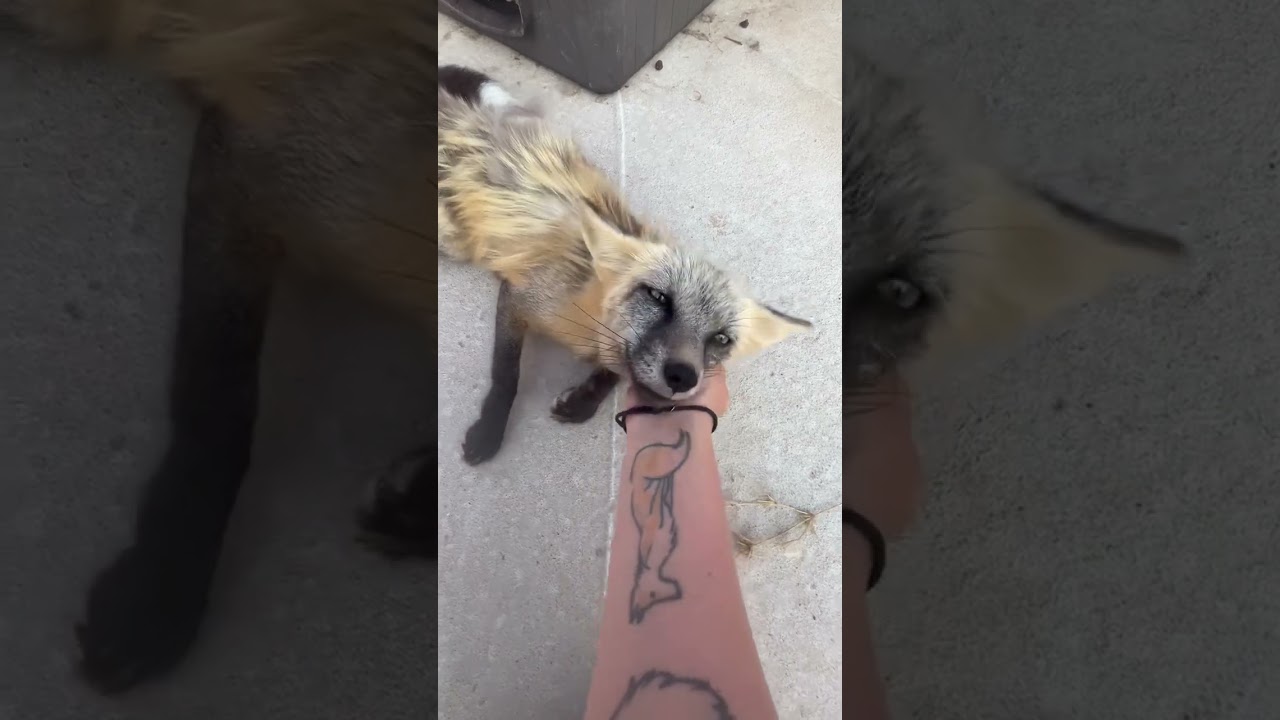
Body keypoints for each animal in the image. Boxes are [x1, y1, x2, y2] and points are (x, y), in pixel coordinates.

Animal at [438, 66, 812, 465]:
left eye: (721, 338)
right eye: (659, 297)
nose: (683, 376)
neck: (588, 316)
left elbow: (614, 374)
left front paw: (584, 400)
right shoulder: (521, 297)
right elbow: (506, 374)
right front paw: (490, 429)